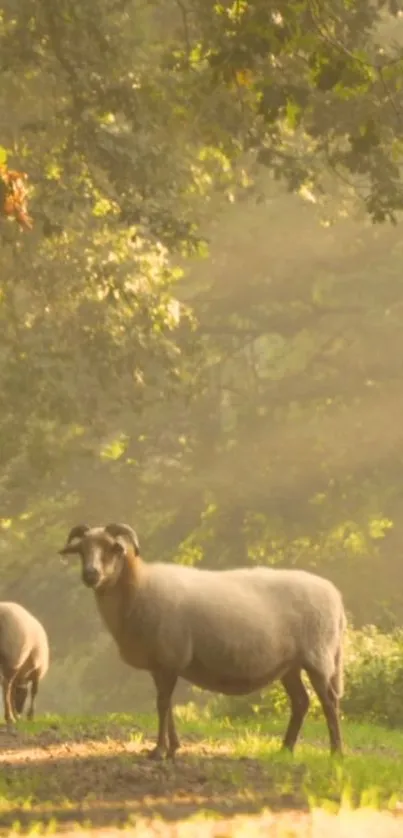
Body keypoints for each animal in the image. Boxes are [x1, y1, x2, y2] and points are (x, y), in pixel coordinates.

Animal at [59, 524, 348, 760]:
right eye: (82, 550)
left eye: (112, 548)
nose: (90, 574)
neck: (137, 586)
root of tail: (335, 595)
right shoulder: (160, 663)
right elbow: (166, 704)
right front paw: (173, 747)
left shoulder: (170, 657)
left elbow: (162, 705)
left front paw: (159, 751)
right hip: (290, 664)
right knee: (301, 702)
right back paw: (285, 749)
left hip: (318, 657)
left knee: (329, 701)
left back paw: (336, 752)